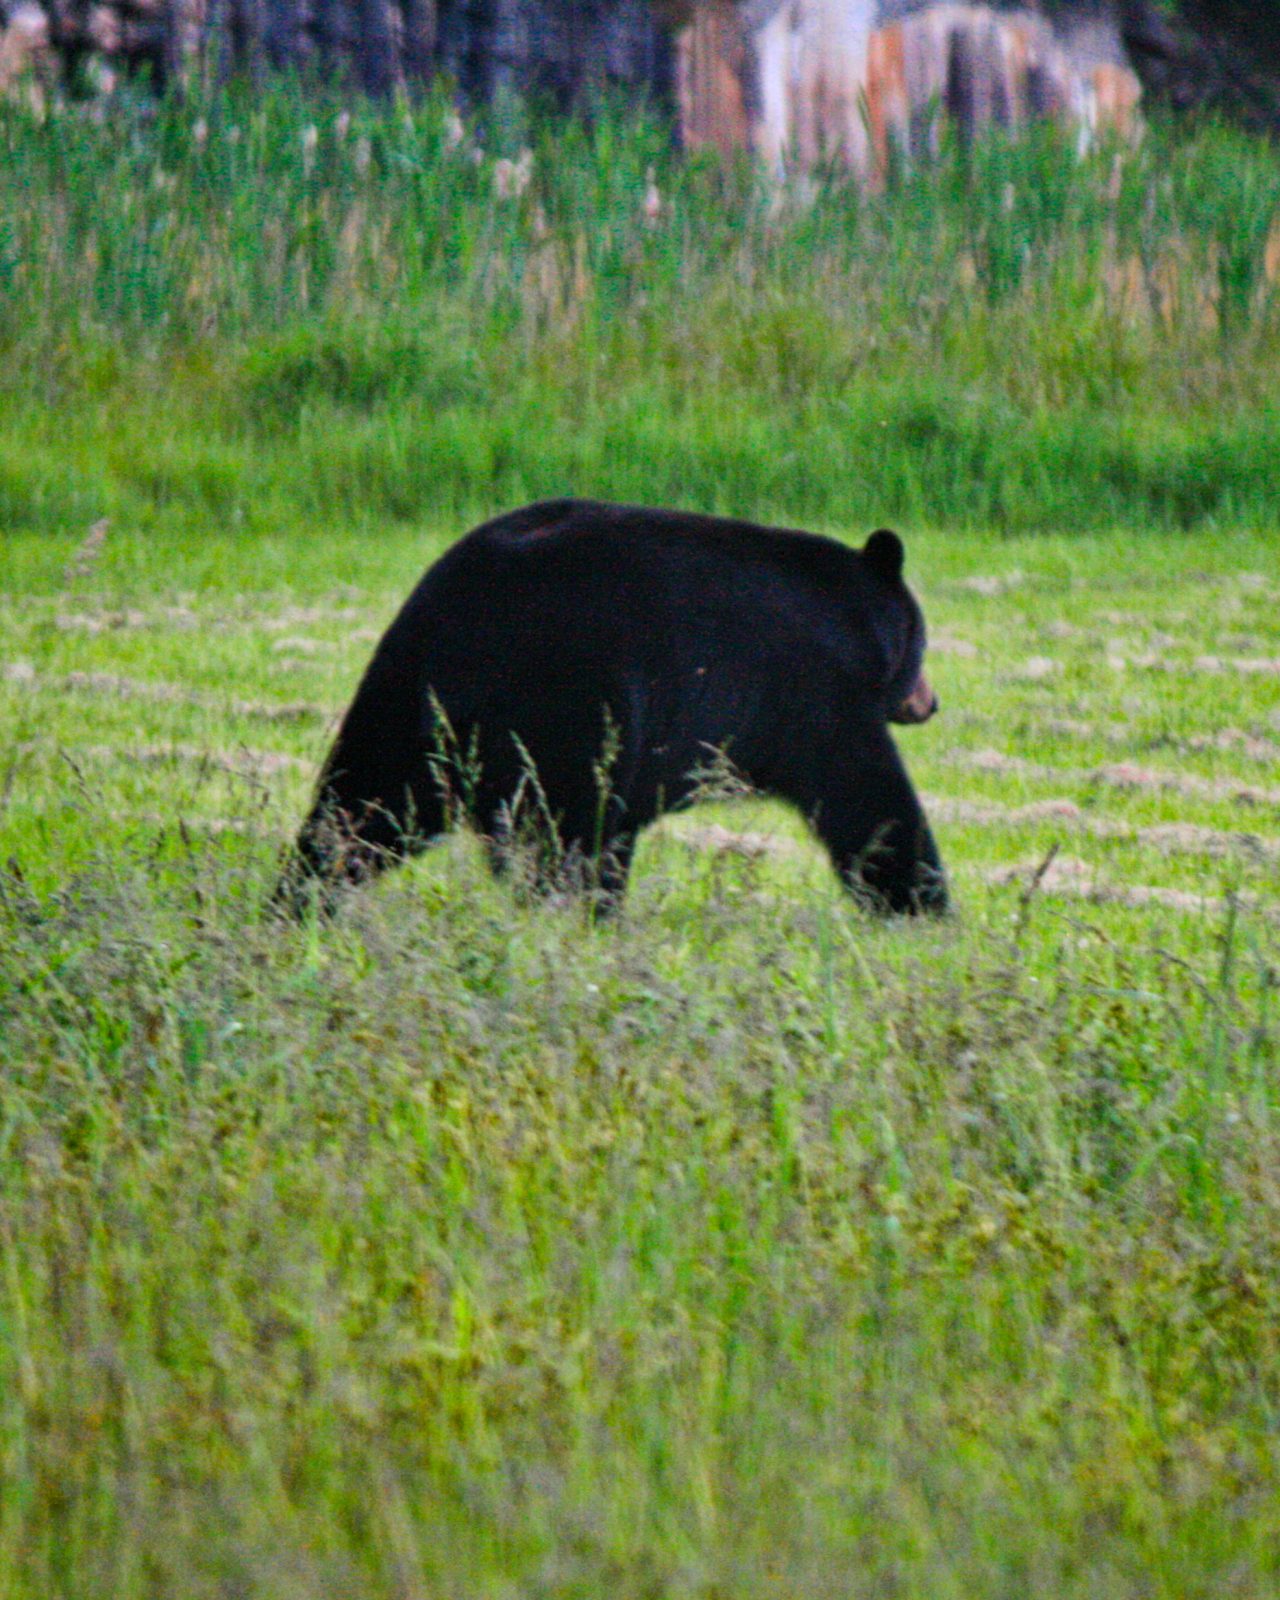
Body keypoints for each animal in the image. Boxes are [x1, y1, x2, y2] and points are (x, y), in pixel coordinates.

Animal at [277, 498, 946, 916]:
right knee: (560, 836)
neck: (853, 621)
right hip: (568, 705)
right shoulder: (813, 692)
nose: (930, 702)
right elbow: (866, 796)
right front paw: (921, 905)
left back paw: (296, 903)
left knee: (359, 805)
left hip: (402, 694)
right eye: (922, 640)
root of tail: (464, 629)